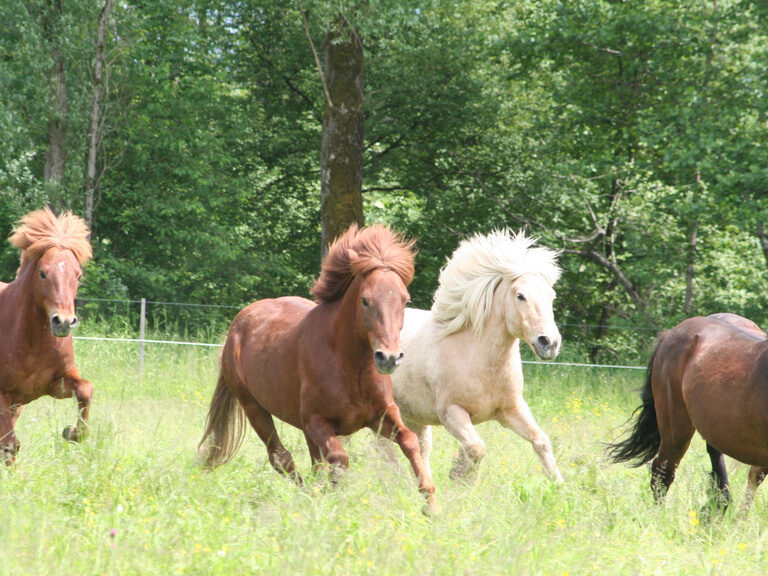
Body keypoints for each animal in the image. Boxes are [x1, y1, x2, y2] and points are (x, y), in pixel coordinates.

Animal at [0, 207, 93, 464]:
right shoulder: (2, 395)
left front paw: (72, 432)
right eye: (42, 273)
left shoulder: (54, 384)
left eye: (78, 276)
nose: (63, 322)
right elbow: (10, 446)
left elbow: (86, 389)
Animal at [198, 224, 438, 512]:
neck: (351, 367)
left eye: (404, 301)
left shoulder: (382, 416)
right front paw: (333, 504)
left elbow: (410, 442)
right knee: (281, 457)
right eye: (365, 300)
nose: (389, 358)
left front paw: (431, 505)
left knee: (310, 463)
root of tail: (237, 324)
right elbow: (339, 459)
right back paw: (307, 497)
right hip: (255, 408)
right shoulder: (317, 421)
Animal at [390, 230, 564, 482]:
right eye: (520, 296)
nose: (549, 343)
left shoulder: (512, 409)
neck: (478, 358)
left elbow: (541, 441)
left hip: (414, 417)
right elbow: (477, 447)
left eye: (552, 296)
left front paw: (559, 484)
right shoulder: (452, 412)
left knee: (419, 448)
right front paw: (460, 475)